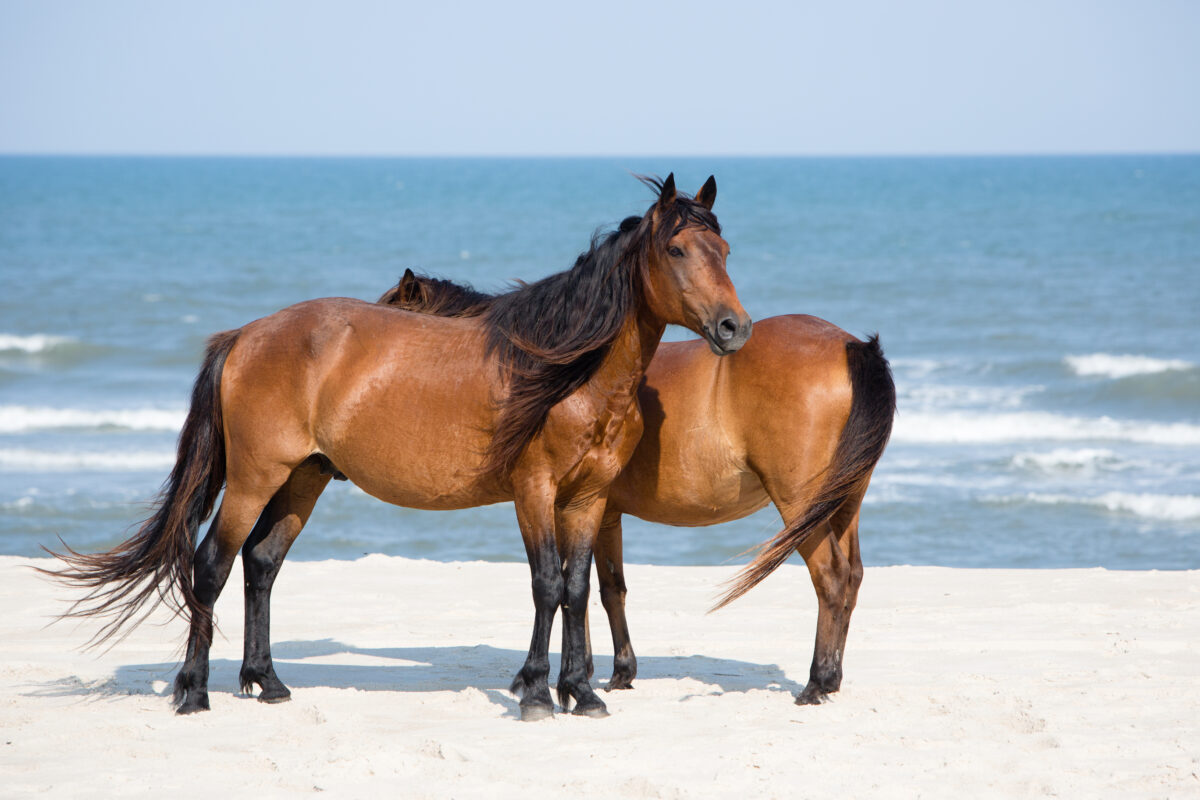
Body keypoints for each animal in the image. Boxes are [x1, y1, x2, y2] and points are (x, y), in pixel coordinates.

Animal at [44, 173, 752, 721]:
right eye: (678, 248)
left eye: (724, 248)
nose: (733, 328)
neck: (568, 371)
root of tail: (247, 334)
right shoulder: (535, 491)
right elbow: (547, 584)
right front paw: (536, 695)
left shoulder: (588, 498)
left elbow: (579, 590)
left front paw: (582, 691)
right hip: (253, 478)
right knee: (211, 565)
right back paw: (193, 693)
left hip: (305, 478)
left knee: (261, 562)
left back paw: (267, 682)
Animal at [380, 275, 895, 705]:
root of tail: (852, 346)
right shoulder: (601, 510)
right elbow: (607, 589)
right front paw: (613, 672)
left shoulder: (571, 504)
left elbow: (575, 585)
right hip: (843, 502)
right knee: (851, 577)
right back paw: (832, 679)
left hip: (801, 504)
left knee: (830, 576)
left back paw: (815, 683)